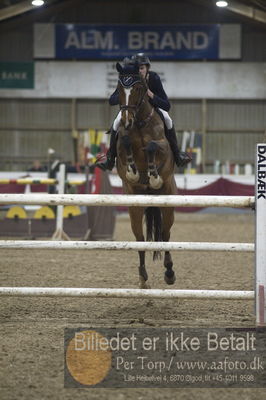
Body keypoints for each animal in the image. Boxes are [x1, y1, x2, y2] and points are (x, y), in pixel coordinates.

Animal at [115, 61, 176, 288]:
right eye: (118, 89)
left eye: (139, 88)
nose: (126, 121)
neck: (140, 123)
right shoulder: (121, 146)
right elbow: (124, 143)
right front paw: (133, 173)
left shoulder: (163, 146)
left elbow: (152, 146)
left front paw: (153, 176)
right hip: (135, 207)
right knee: (140, 240)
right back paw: (142, 277)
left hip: (168, 203)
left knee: (165, 235)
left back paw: (169, 273)